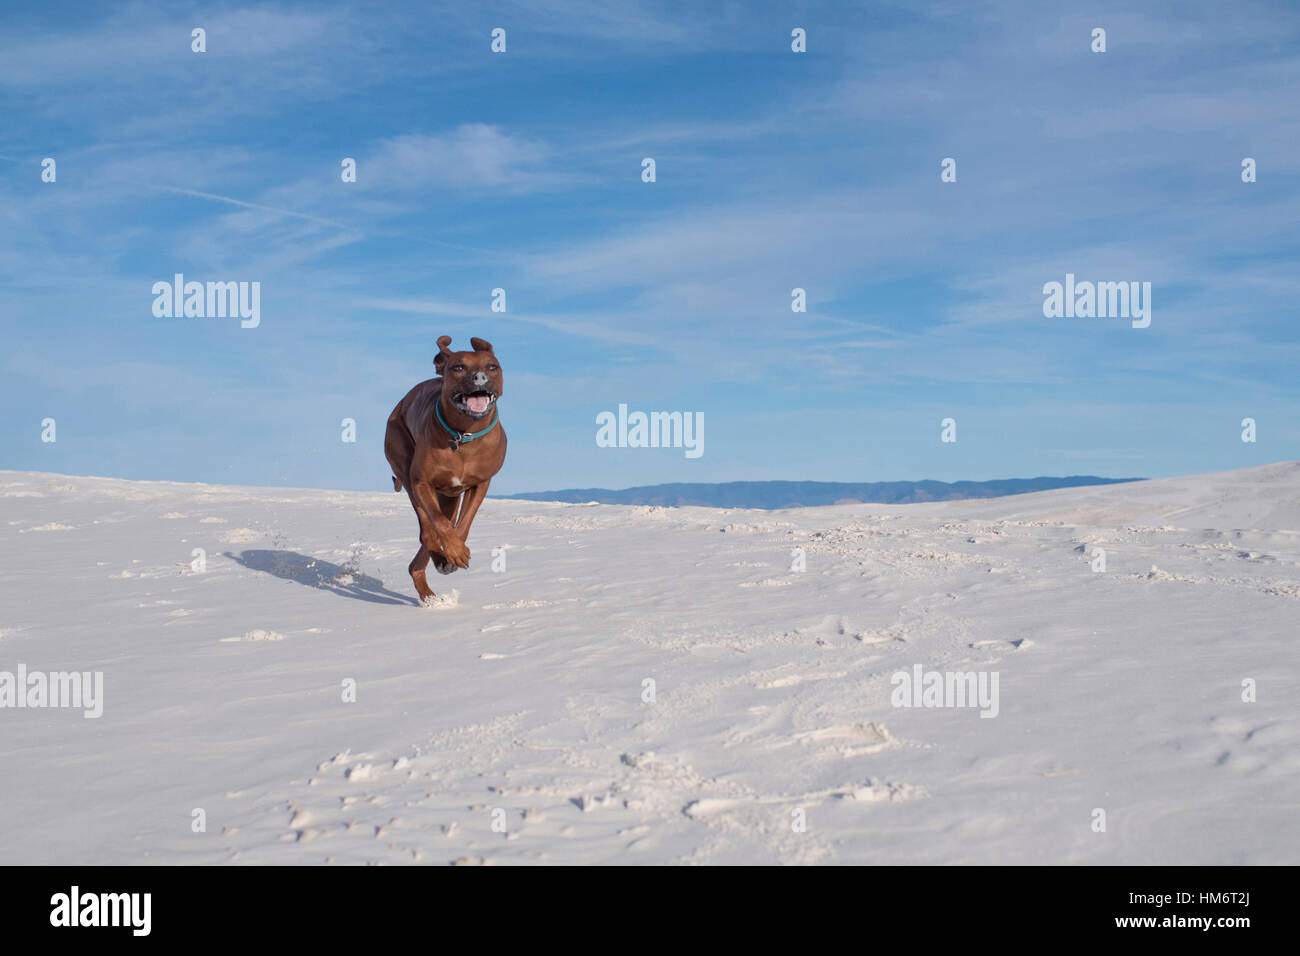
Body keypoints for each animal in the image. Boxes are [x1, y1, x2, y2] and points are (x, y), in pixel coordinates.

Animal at [382, 338, 504, 606]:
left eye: (492, 366)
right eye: (458, 367)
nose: (479, 377)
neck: (464, 435)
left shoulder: (481, 483)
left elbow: (463, 524)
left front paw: (456, 550)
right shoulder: (422, 482)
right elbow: (438, 523)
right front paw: (456, 552)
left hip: (449, 497)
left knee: (434, 535)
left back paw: (434, 578)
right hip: (403, 462)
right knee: (426, 531)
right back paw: (438, 563)